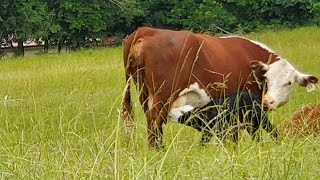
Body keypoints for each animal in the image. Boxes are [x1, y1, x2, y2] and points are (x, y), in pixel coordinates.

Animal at [122, 26, 318, 148]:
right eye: (267, 79)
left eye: (289, 82)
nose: (268, 101)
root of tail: (146, 30)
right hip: (162, 97)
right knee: (155, 122)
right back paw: (159, 150)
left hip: (144, 94)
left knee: (151, 123)